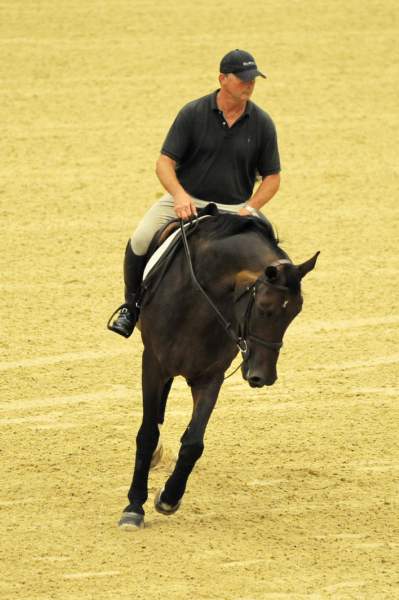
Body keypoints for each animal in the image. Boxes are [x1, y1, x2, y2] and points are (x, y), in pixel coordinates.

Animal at [118, 209, 318, 528]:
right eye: (264, 306)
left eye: (296, 311)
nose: (264, 376)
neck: (200, 298)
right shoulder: (153, 364)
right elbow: (147, 434)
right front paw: (134, 506)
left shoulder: (210, 377)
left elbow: (193, 443)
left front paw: (169, 498)